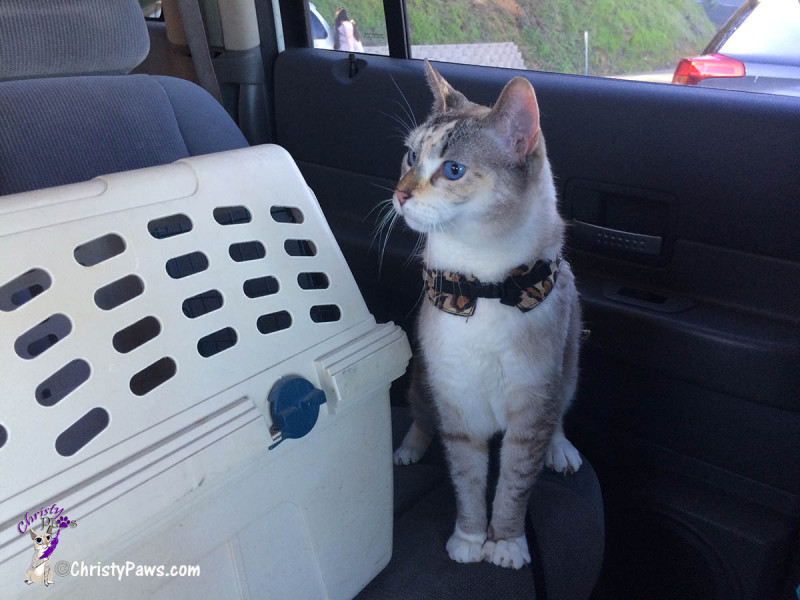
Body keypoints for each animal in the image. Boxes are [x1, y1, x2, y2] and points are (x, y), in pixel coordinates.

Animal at [392, 63, 580, 568]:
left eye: (453, 170)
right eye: (411, 156)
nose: (399, 196)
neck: (487, 287)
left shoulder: (531, 410)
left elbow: (514, 484)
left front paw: (508, 543)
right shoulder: (458, 408)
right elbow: (469, 479)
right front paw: (471, 539)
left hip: (570, 366)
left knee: (560, 414)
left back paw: (561, 449)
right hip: (423, 378)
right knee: (421, 414)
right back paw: (409, 448)